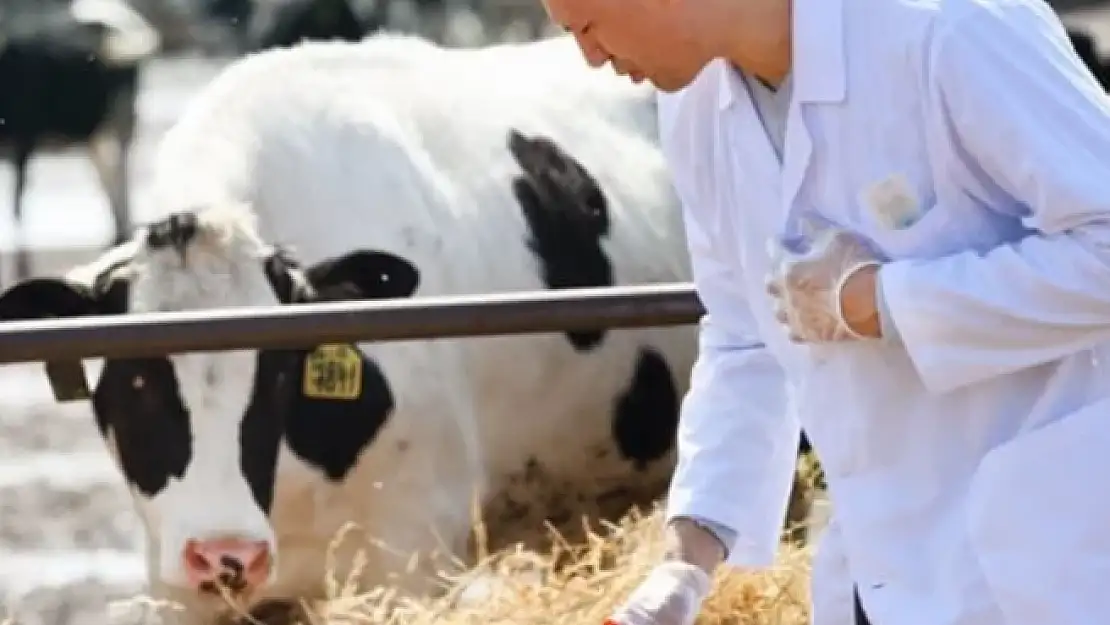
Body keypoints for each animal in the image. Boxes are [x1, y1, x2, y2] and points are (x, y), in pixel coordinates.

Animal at [0, 0, 160, 284]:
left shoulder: (24, 138)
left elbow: (16, 204)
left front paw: (22, 271)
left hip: (120, 117)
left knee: (119, 173)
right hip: (95, 133)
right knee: (108, 176)